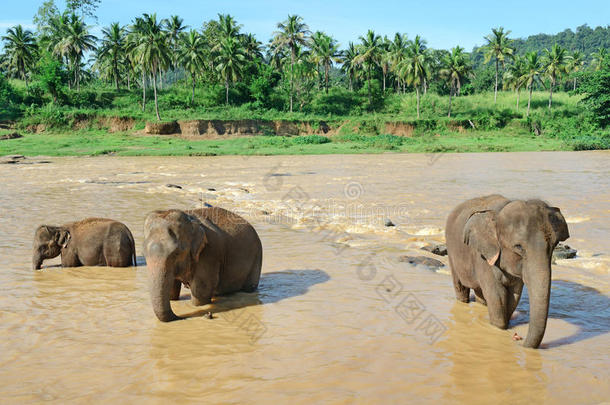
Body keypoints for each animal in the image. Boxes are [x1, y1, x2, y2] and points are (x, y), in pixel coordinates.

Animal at [444, 194, 568, 346]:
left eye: (554, 245)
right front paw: (499, 327)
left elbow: (514, 295)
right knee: (460, 287)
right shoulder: (483, 257)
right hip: (451, 250)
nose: (519, 340)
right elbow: (498, 296)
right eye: (519, 247)